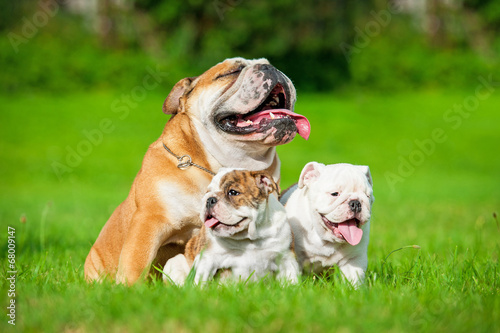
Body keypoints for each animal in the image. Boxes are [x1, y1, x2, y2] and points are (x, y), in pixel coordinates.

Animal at [163, 167, 300, 284]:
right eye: (207, 192)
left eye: (233, 192)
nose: (210, 199)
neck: (249, 238)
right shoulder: (207, 260)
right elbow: (201, 281)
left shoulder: (286, 259)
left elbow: (291, 280)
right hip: (173, 262)